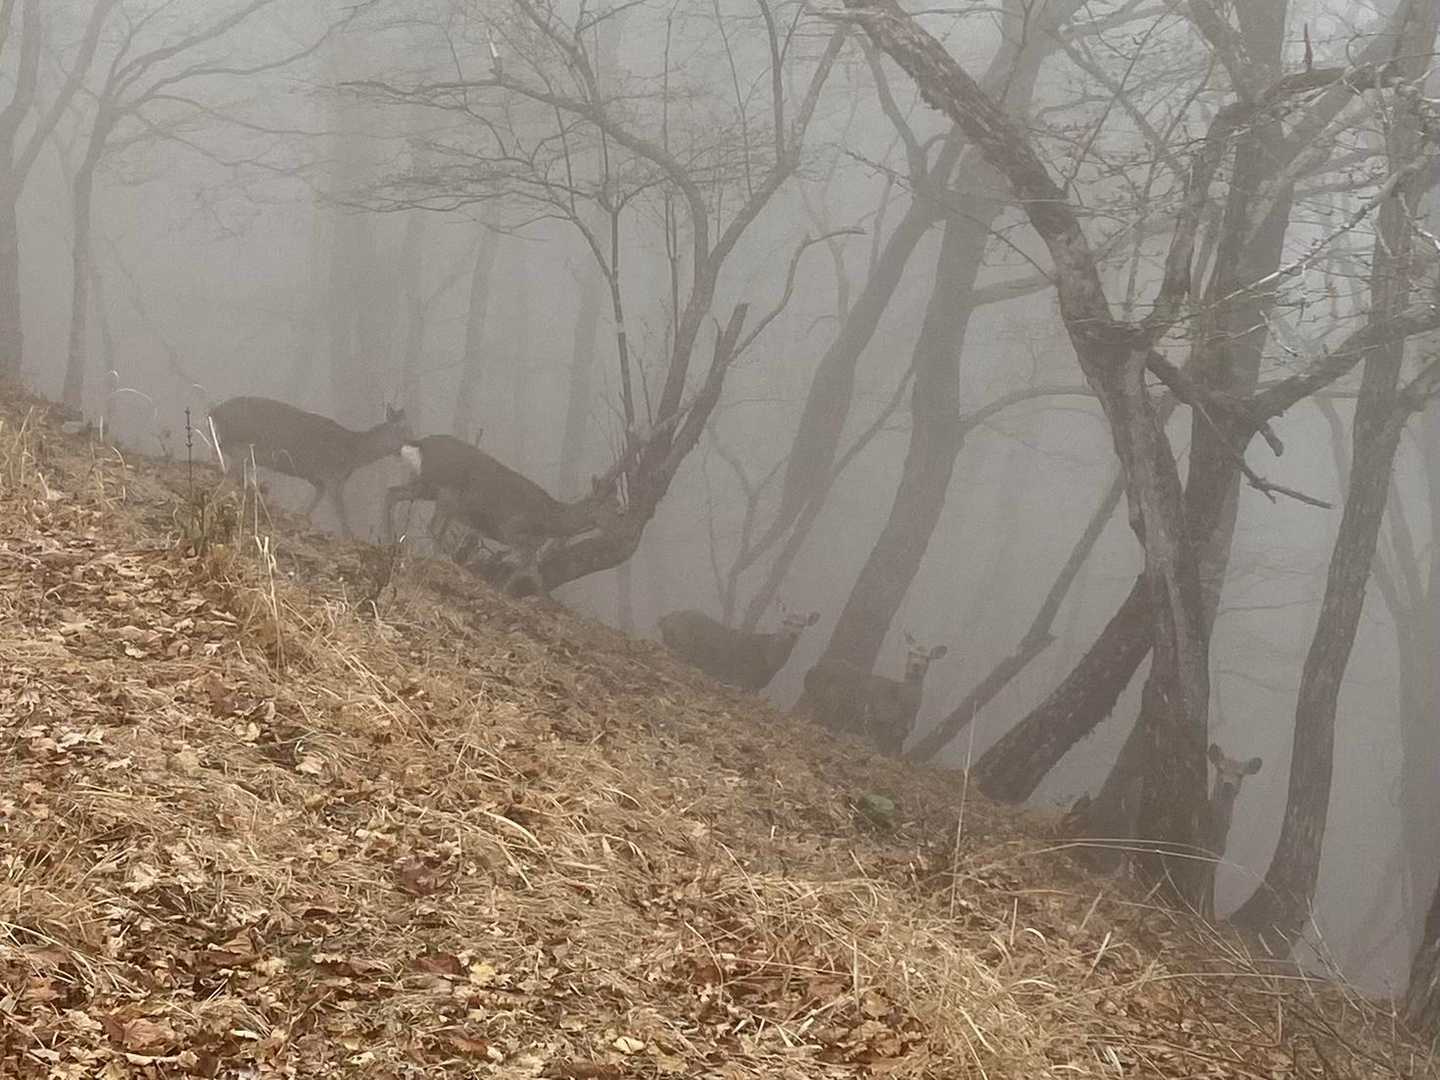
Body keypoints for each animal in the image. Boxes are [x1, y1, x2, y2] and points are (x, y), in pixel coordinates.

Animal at [208, 396, 411, 538]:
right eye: (404, 430)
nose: (413, 443)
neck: (353, 455)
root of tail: (214, 411)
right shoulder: (332, 474)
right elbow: (341, 511)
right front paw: (351, 537)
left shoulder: (316, 477)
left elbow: (315, 501)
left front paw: (300, 519)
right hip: (241, 445)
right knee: (224, 469)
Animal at [385, 434, 622, 596]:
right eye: (615, 505)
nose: (620, 528)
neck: (549, 520)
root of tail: (420, 445)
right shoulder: (513, 531)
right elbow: (524, 568)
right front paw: (504, 592)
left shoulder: (530, 544)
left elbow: (533, 572)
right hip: (445, 491)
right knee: (432, 526)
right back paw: (443, 560)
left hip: (426, 487)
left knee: (393, 493)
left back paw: (392, 539)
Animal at [657, 607, 820, 691]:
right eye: (785, 621)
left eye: (802, 625)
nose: (793, 634)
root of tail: (664, 619)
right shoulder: (741, 679)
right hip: (681, 643)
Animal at [802, 633, 949, 757]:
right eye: (910, 653)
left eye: (928, 658)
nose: (916, 666)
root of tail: (812, 669)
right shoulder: (877, 721)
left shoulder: (900, 735)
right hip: (828, 702)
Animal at [1200, 741, 1263, 921]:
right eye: (1220, 769)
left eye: (1240, 774)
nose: (1228, 785)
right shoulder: (1203, 848)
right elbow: (1204, 882)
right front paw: (1201, 913)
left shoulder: (1217, 855)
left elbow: (1210, 882)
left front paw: (1210, 916)